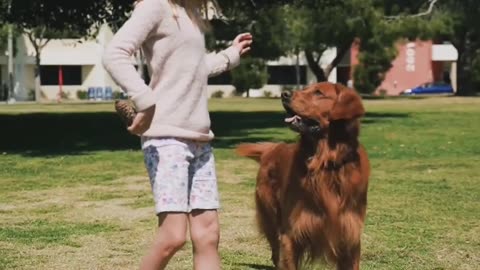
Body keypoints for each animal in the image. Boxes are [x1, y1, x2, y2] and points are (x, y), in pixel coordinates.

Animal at [238, 83, 370, 270]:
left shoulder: (349, 238)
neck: (325, 165)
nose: (284, 94)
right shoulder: (291, 234)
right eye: (306, 88)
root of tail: (272, 149)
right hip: (271, 216)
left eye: (318, 92)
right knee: (275, 252)